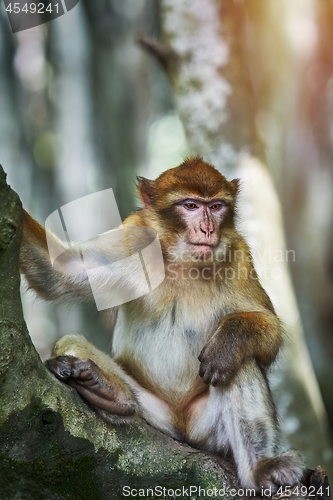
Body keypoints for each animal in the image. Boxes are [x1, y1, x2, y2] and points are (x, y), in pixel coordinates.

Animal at [18, 157, 304, 492]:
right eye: (190, 205)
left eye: (216, 206)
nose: (208, 228)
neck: (183, 260)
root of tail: (182, 427)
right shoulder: (132, 236)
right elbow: (60, 272)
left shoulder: (239, 254)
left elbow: (267, 329)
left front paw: (229, 341)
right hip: (155, 415)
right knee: (72, 344)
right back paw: (108, 391)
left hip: (208, 430)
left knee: (240, 363)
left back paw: (260, 469)